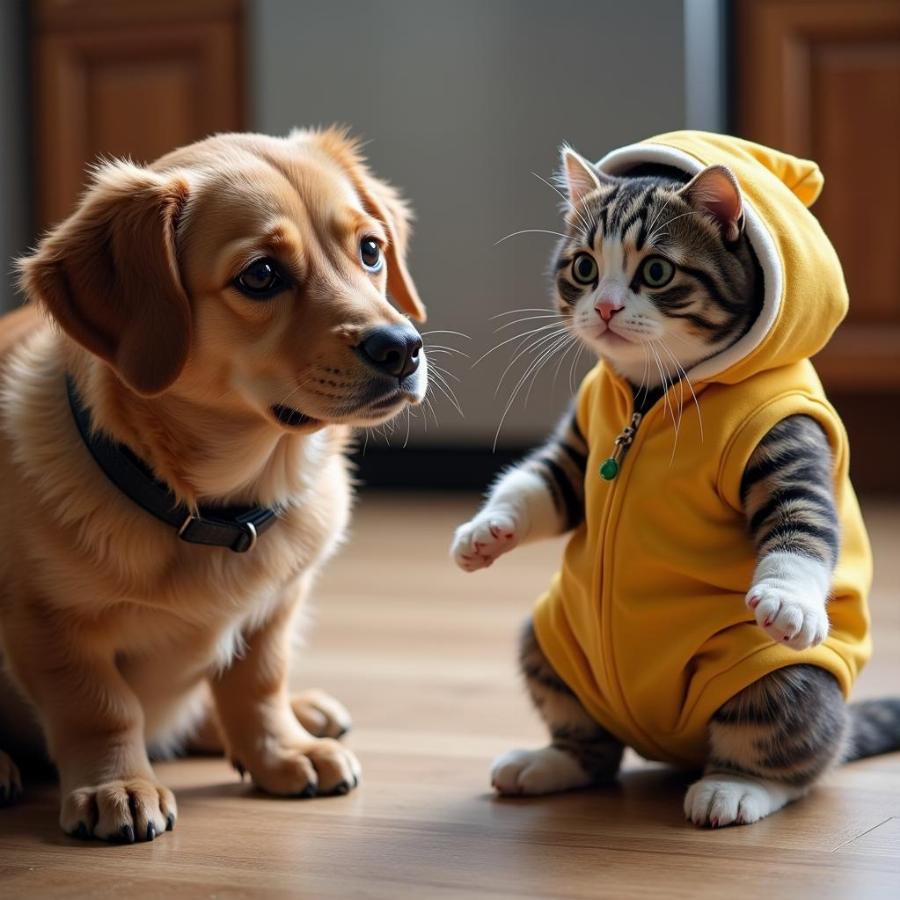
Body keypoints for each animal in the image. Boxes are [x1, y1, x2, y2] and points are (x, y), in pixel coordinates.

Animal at [0, 128, 428, 844]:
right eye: (260, 275)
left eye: (370, 250)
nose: (403, 347)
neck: (223, 503)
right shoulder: (50, 625)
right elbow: (100, 708)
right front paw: (116, 785)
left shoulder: (277, 608)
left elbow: (257, 684)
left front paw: (280, 752)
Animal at [450, 130, 900, 828]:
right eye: (584, 267)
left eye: (656, 271)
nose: (606, 306)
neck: (651, 394)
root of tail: (668, 745)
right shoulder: (584, 442)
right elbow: (541, 484)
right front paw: (485, 531)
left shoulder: (789, 435)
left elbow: (800, 518)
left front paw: (788, 598)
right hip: (549, 643)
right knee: (595, 749)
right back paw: (549, 763)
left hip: (778, 680)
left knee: (794, 751)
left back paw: (736, 788)